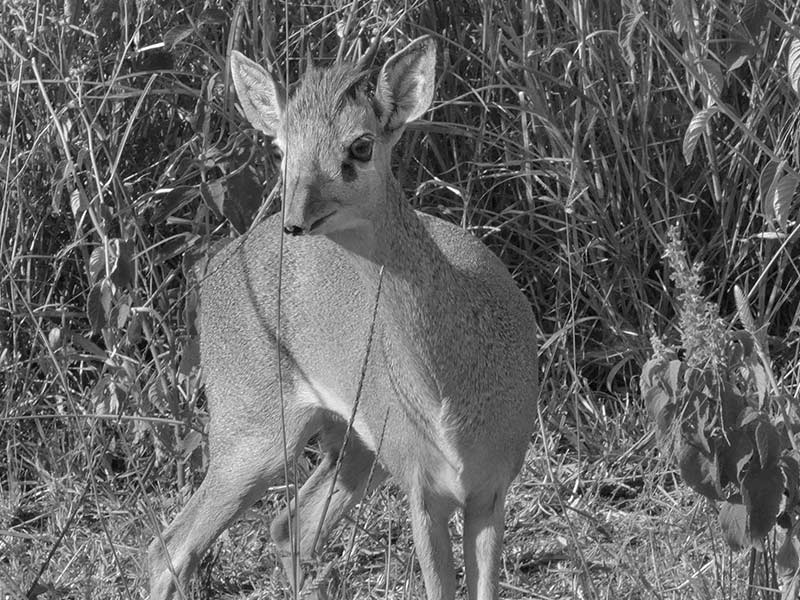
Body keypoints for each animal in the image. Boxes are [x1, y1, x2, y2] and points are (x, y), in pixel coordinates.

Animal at [148, 35, 536, 596]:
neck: (452, 397)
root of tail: (219, 267)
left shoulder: (490, 491)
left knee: (288, 526)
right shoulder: (423, 494)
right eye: (281, 148)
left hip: (350, 446)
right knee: (169, 548)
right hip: (257, 439)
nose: (295, 221)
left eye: (361, 145)